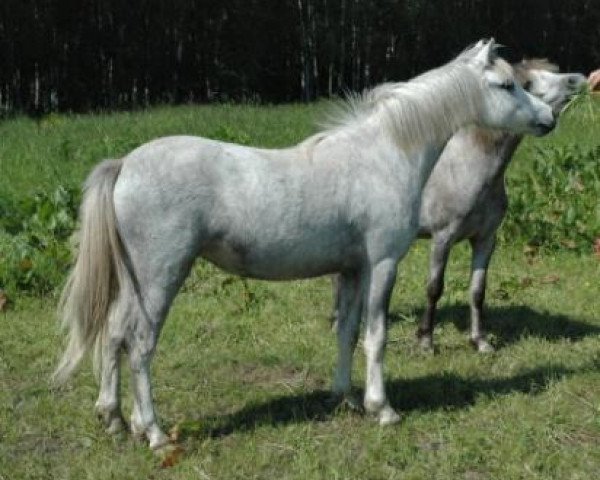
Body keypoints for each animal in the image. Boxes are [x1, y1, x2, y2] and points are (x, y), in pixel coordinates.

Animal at [54, 40, 556, 450]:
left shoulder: (353, 269)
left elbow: (348, 331)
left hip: (135, 281)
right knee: (140, 345)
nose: (548, 119)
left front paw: (346, 398)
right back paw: (154, 433)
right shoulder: (383, 264)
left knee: (114, 335)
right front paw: (383, 409)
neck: (384, 155)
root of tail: (125, 164)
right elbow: (377, 335)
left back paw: (115, 420)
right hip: (161, 277)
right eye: (508, 84)